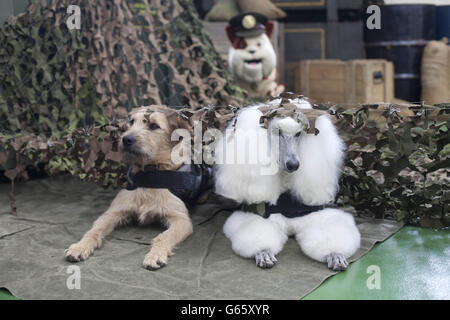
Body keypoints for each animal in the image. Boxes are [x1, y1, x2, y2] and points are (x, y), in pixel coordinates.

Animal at [64, 105, 193, 270]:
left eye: (154, 125)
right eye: (131, 122)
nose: (126, 139)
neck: (147, 176)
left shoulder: (181, 220)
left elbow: (164, 236)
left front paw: (155, 255)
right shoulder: (113, 212)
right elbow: (94, 229)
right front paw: (80, 247)